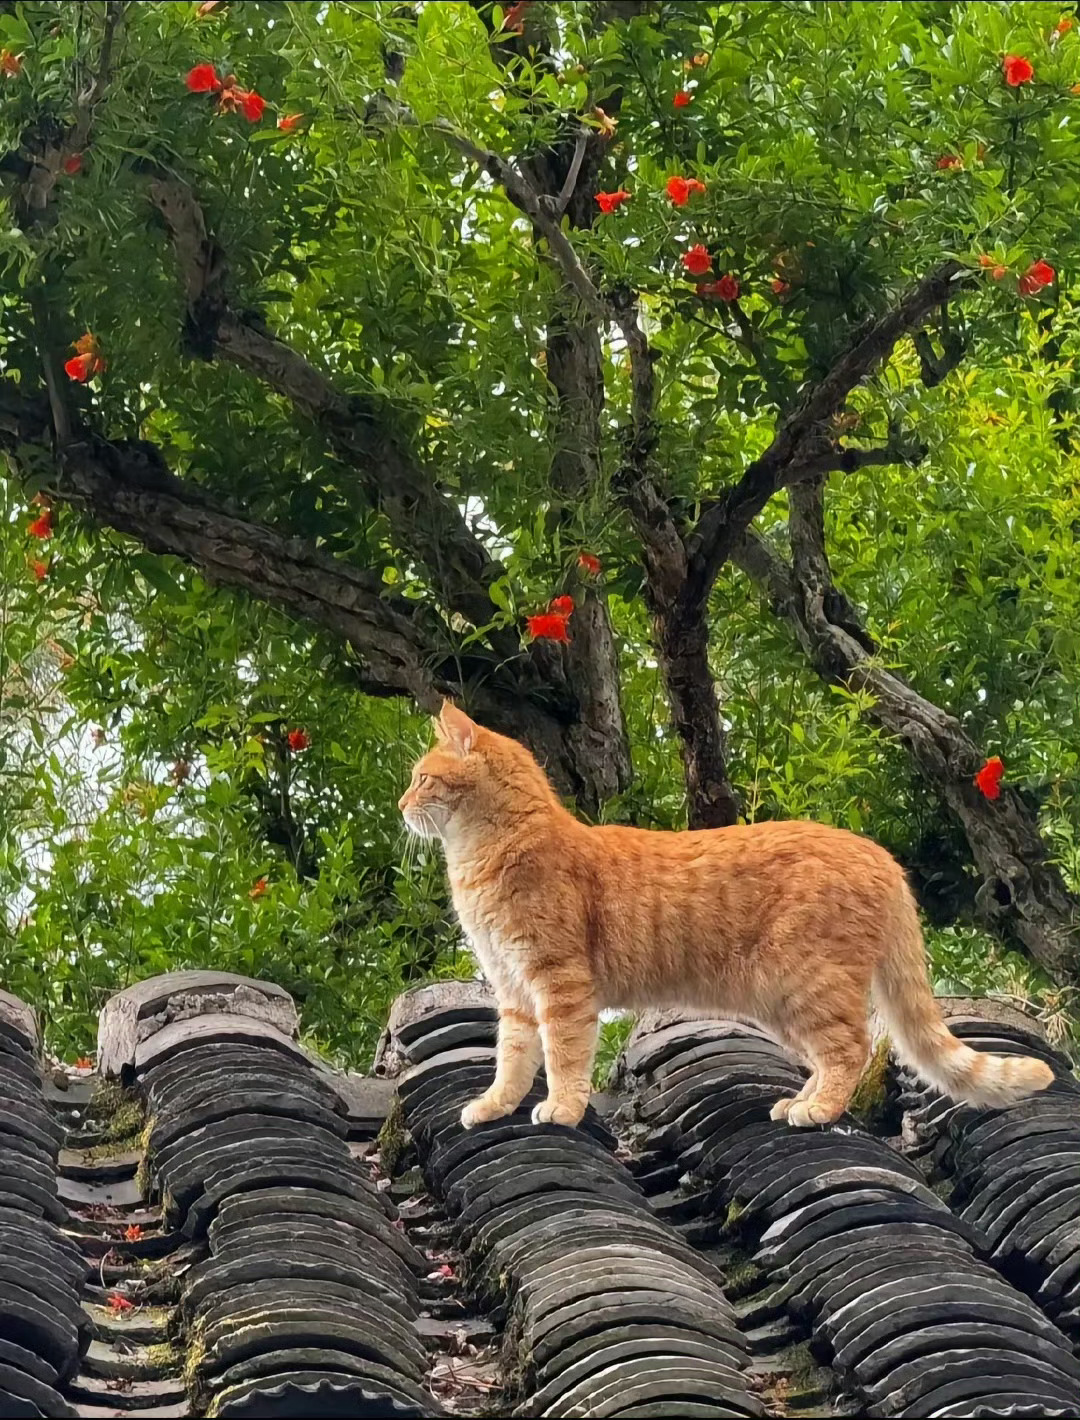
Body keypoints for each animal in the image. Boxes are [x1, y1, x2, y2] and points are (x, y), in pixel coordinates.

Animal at [400, 701, 1050, 1130]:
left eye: (423, 777)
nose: (403, 804)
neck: (484, 855)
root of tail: (877, 852)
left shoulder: (558, 983)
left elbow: (562, 1055)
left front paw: (561, 1108)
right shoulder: (513, 991)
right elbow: (511, 1058)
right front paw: (495, 1106)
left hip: (807, 986)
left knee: (852, 1049)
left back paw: (817, 1109)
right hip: (784, 1001)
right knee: (834, 1053)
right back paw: (800, 1101)